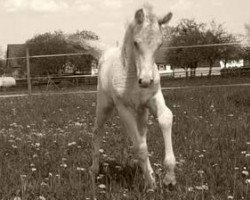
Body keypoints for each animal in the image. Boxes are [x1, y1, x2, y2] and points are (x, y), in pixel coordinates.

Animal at [90, 3, 176, 196]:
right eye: (136, 43)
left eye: (160, 44)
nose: (146, 80)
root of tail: (106, 52)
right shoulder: (124, 108)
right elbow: (140, 148)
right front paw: (151, 184)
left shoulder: (152, 98)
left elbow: (165, 118)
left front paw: (169, 178)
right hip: (104, 106)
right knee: (97, 130)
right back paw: (94, 169)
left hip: (142, 112)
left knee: (142, 135)